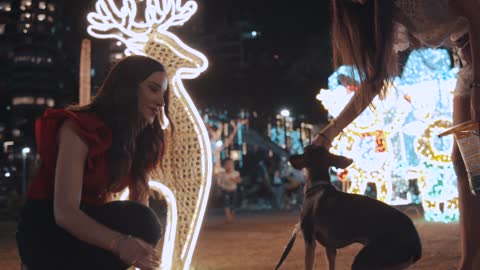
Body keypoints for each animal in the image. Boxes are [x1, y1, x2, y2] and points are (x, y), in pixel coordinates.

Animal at [286, 146, 422, 270]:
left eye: (304, 151)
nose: (290, 157)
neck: (318, 186)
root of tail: (416, 243)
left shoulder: (309, 240)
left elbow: (308, 265)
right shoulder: (330, 248)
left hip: (363, 261)